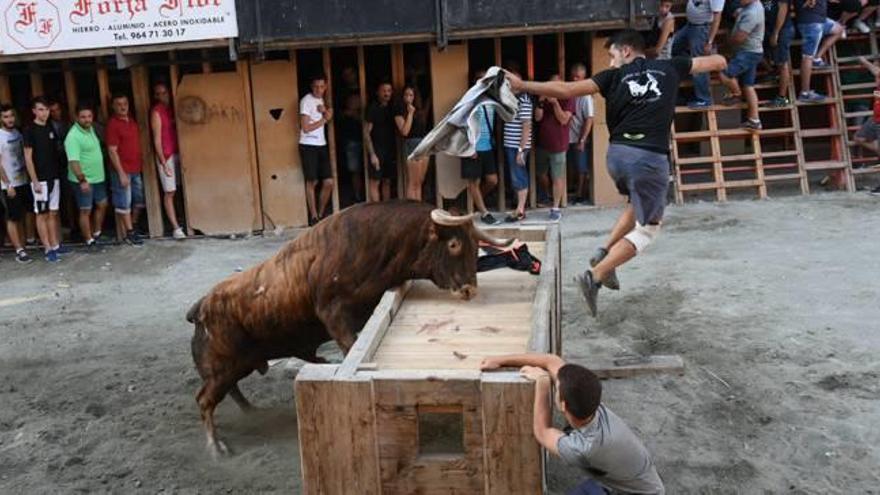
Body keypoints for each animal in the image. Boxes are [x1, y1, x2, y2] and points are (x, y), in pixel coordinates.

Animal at [189, 200, 512, 456]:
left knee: (229, 391)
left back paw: (251, 412)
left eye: (476, 245)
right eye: (454, 244)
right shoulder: (334, 313)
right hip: (223, 367)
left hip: (235, 365)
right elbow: (349, 346)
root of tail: (201, 307)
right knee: (205, 399)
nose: (469, 290)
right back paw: (217, 447)